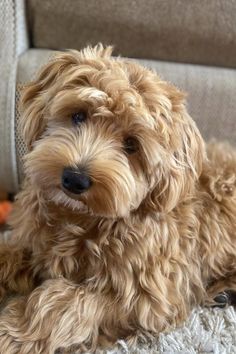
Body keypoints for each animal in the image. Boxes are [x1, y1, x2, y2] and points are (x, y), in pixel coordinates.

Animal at [0, 45, 235, 352]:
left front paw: (11, 334)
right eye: (78, 115)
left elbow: (60, 302)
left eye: (131, 145)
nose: (74, 178)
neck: (81, 218)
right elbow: (10, 253)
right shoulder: (35, 245)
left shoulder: (147, 301)